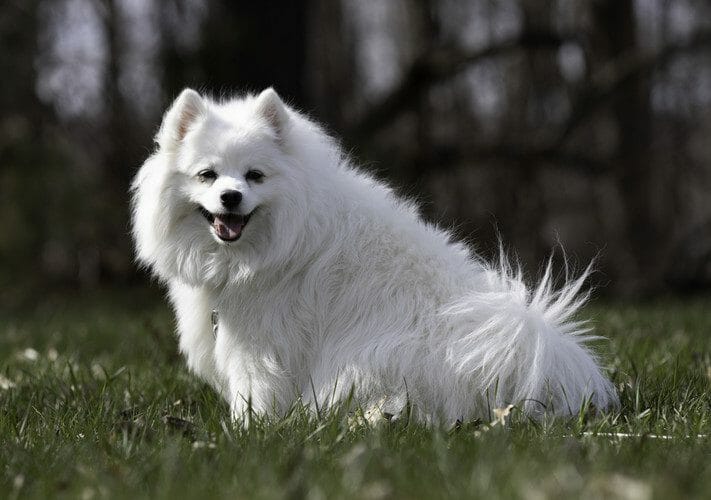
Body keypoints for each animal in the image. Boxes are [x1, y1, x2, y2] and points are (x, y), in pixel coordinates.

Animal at [131, 88, 620, 424]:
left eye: (255, 175)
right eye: (207, 175)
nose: (230, 197)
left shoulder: (263, 343)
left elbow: (255, 395)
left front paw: (248, 434)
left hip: (373, 358)